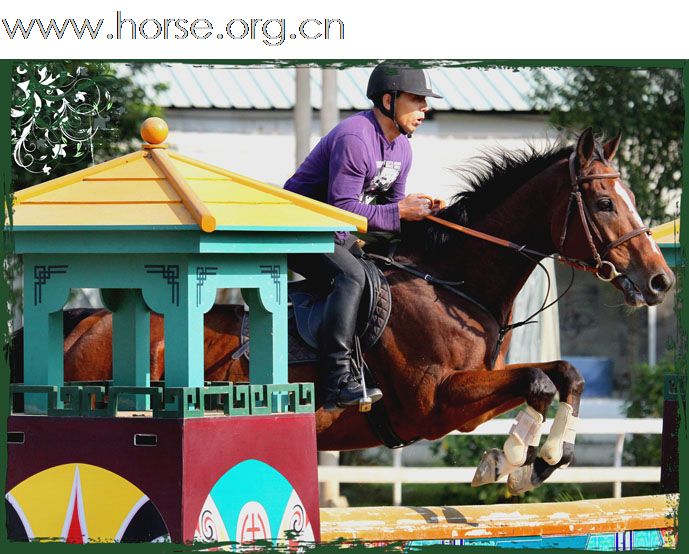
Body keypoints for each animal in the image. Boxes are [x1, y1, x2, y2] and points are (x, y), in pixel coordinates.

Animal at [16, 128, 672, 492]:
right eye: (605, 202)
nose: (661, 281)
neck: (454, 285)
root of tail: (85, 323)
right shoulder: (434, 402)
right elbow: (538, 381)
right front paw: (512, 461)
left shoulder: (462, 404)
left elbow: (564, 374)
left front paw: (537, 462)